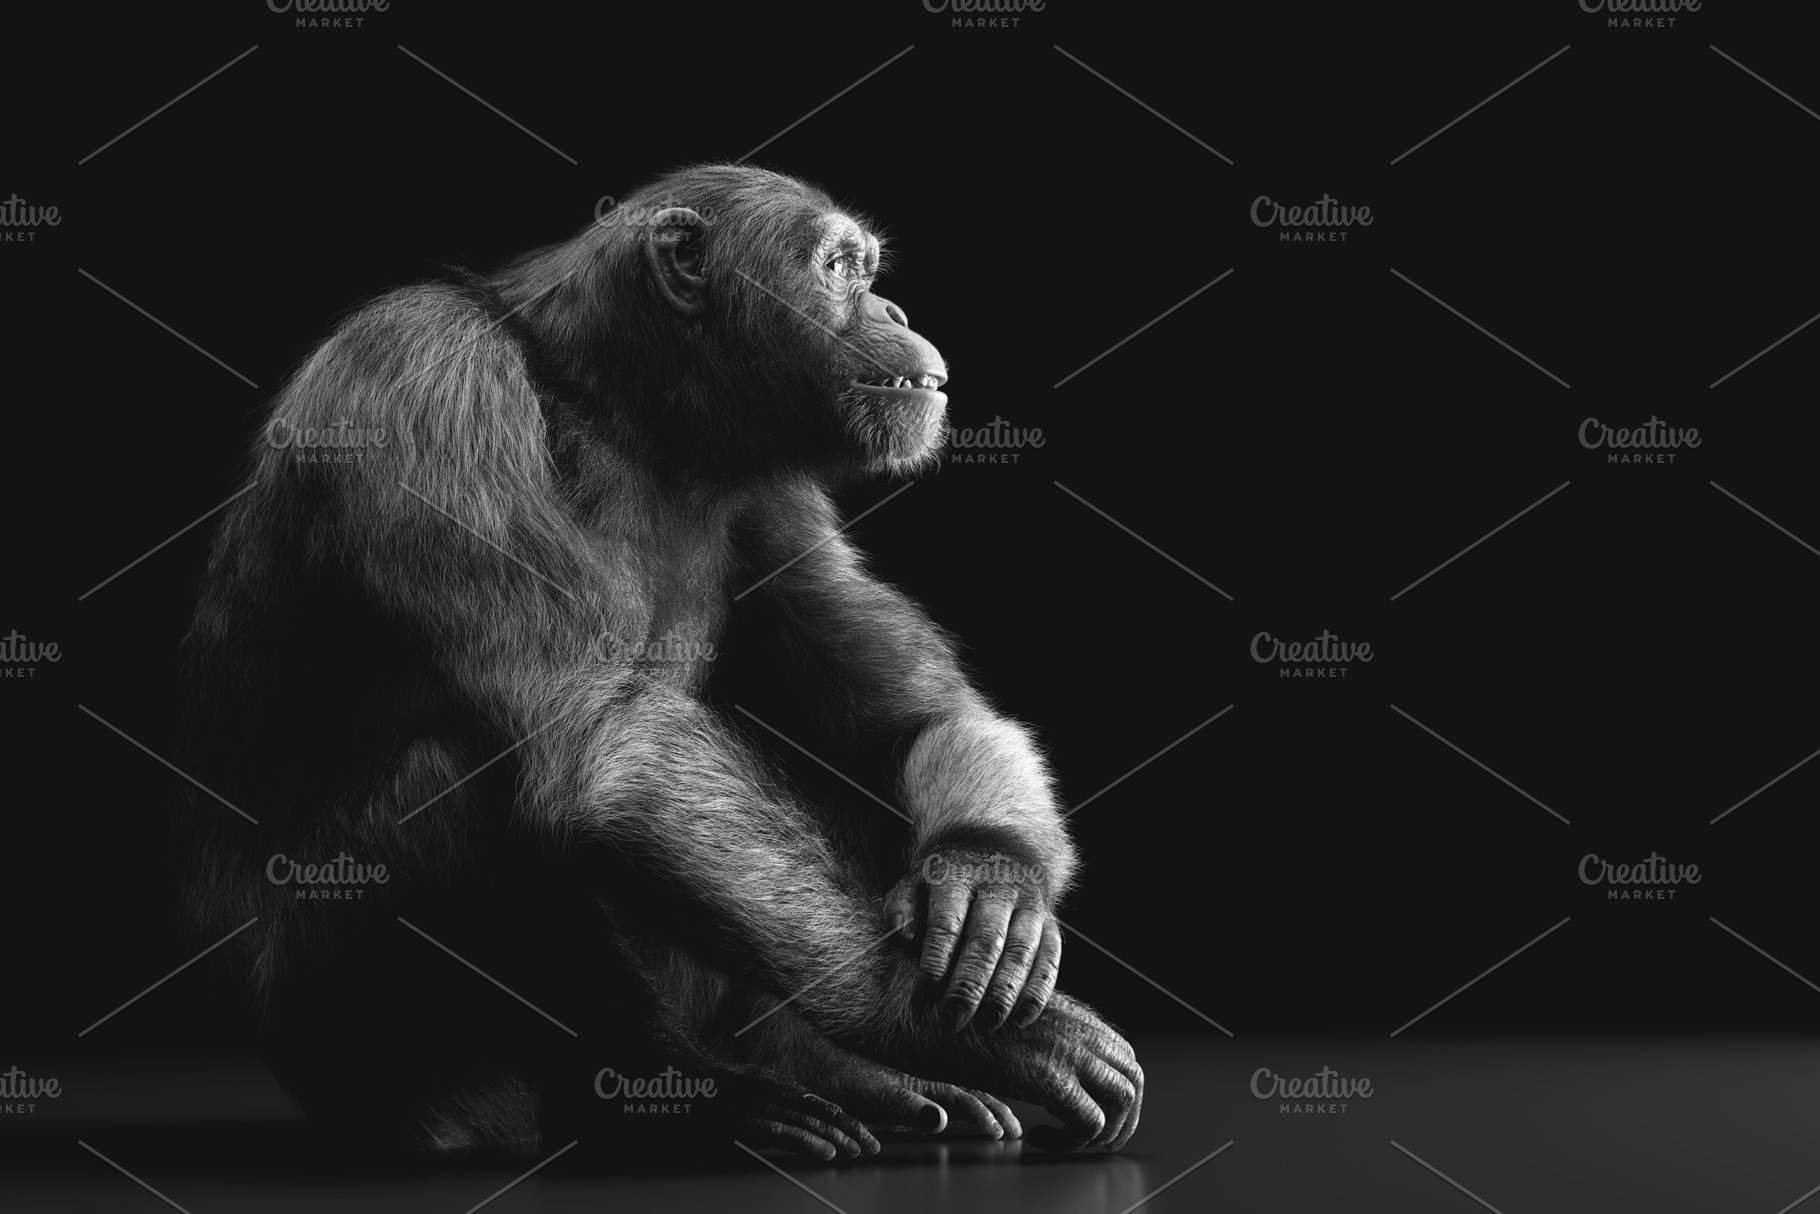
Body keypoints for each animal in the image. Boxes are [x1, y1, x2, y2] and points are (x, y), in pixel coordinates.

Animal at [176, 164, 1142, 1162]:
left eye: (867, 269)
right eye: (838, 267)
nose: (895, 303)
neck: (622, 407)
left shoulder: (778, 496)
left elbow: (909, 715)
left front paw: (991, 881)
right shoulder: (424, 379)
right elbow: (608, 740)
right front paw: (934, 1017)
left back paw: (834, 1070)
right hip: (354, 1049)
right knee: (468, 778)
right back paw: (687, 1092)